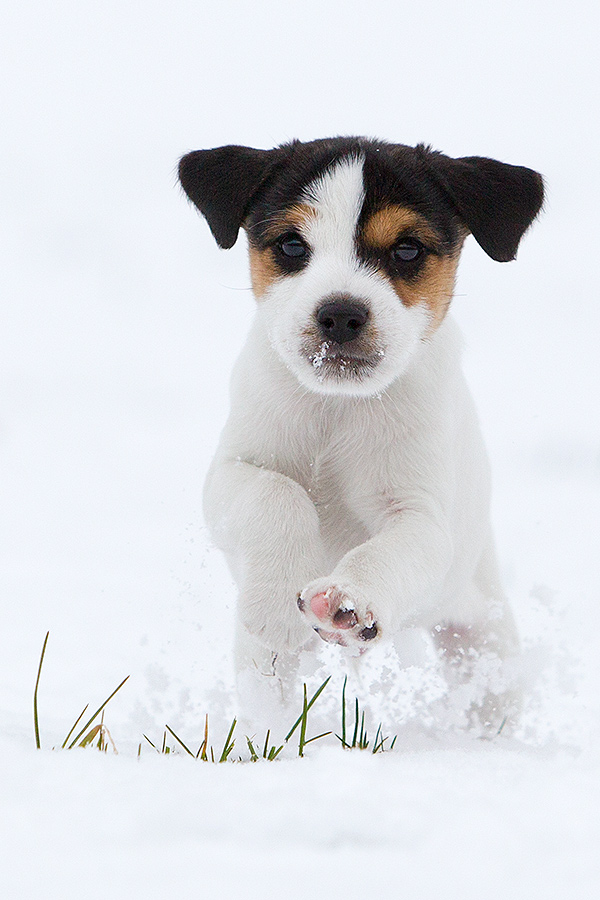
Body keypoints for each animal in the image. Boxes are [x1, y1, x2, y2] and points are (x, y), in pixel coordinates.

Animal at [178, 139, 544, 732]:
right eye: (291, 244)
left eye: (408, 251)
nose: (340, 314)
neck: (339, 407)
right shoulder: (233, 471)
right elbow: (278, 495)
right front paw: (278, 602)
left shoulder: (422, 516)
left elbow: (390, 551)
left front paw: (348, 601)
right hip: (262, 664)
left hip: (483, 639)